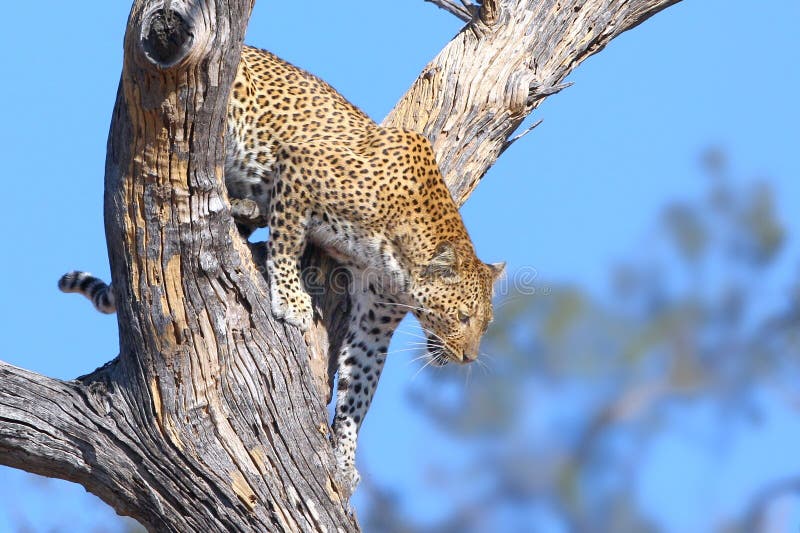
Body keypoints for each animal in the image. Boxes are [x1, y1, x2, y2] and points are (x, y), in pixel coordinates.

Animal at [60, 45, 504, 491]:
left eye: (483, 325)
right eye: (462, 317)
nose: (468, 358)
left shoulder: (374, 321)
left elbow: (359, 385)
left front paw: (345, 458)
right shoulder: (301, 166)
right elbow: (287, 240)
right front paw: (292, 300)